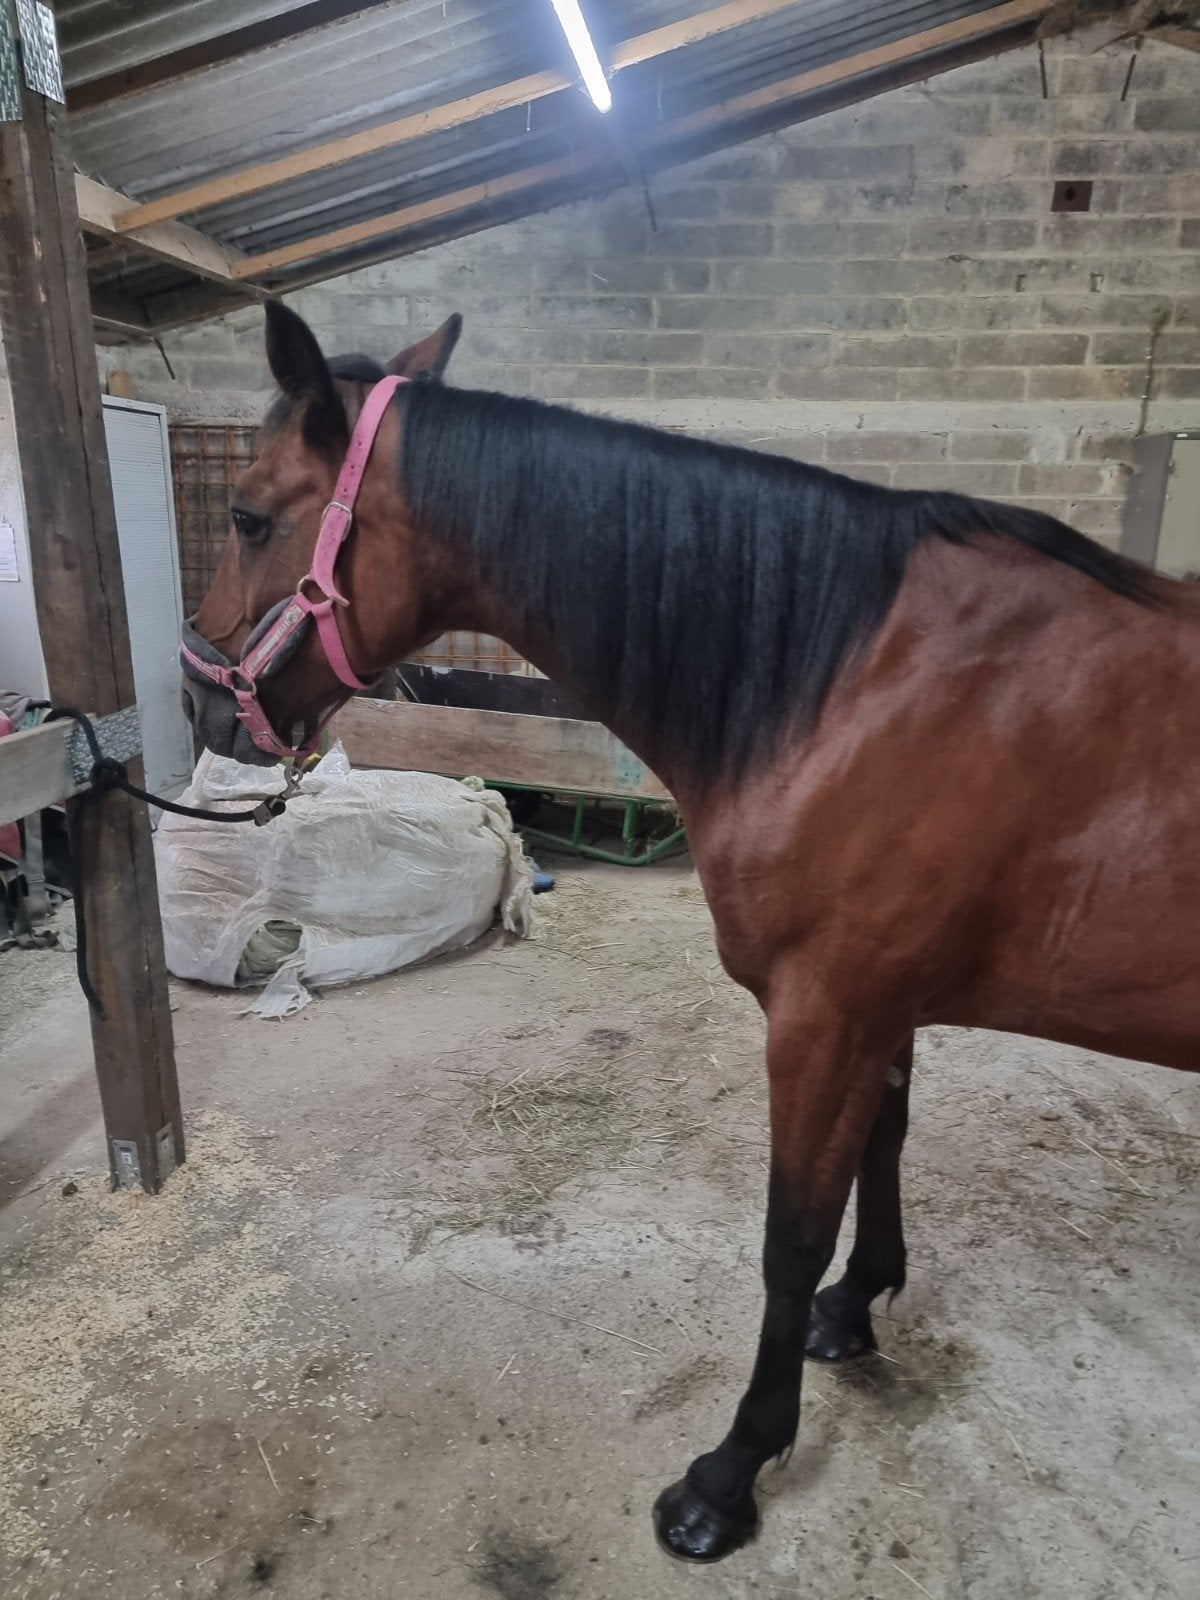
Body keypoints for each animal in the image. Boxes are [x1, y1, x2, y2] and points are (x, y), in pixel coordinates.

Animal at [182, 299, 1200, 1564]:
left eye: (247, 512)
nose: (203, 700)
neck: (854, 677)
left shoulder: (827, 1016)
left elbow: (788, 1239)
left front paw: (731, 1473)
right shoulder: (882, 1009)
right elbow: (885, 1146)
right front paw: (859, 1305)